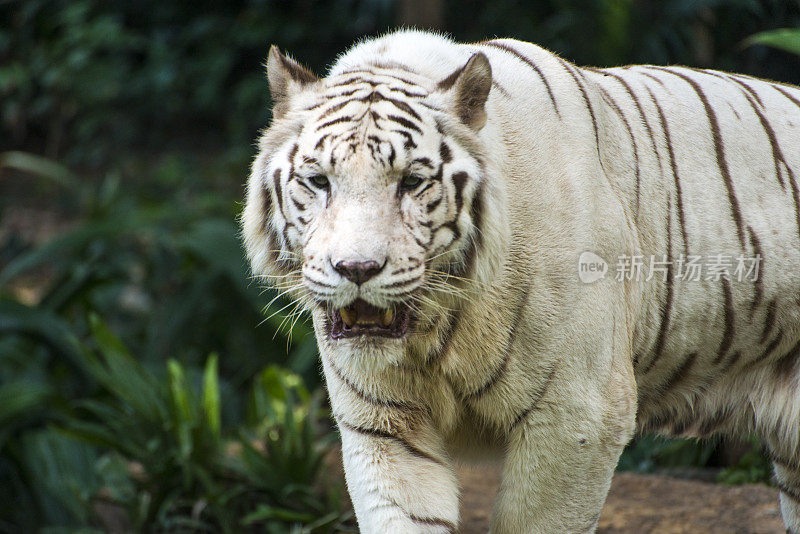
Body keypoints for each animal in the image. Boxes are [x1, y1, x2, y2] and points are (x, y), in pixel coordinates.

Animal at [241, 30, 800, 534]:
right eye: (319, 181)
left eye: (411, 182)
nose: (356, 269)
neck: (440, 324)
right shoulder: (385, 424)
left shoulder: (579, 416)